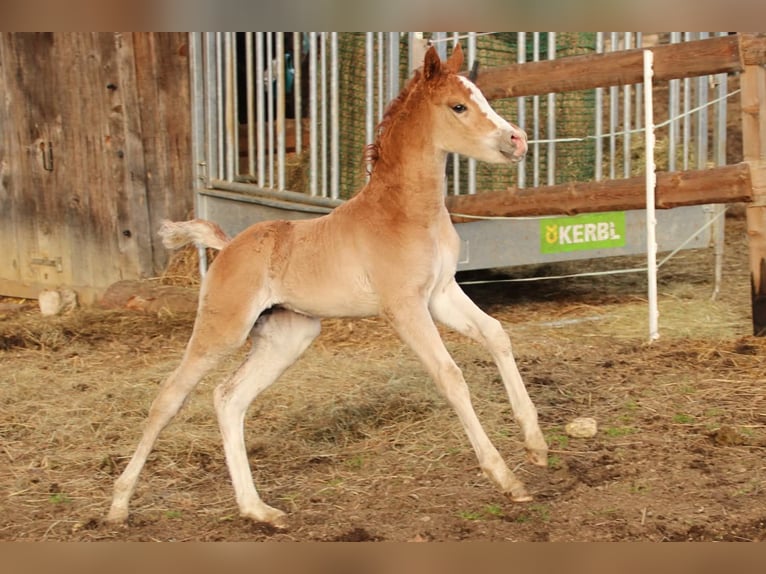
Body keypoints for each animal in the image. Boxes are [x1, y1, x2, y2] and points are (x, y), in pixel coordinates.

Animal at [106, 43, 548, 528]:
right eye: (458, 106)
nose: (517, 141)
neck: (407, 211)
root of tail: (226, 246)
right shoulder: (404, 306)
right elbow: (449, 374)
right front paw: (506, 478)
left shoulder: (440, 294)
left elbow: (496, 334)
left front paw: (537, 444)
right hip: (222, 330)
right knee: (169, 397)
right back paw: (118, 505)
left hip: (288, 336)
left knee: (229, 398)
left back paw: (258, 509)